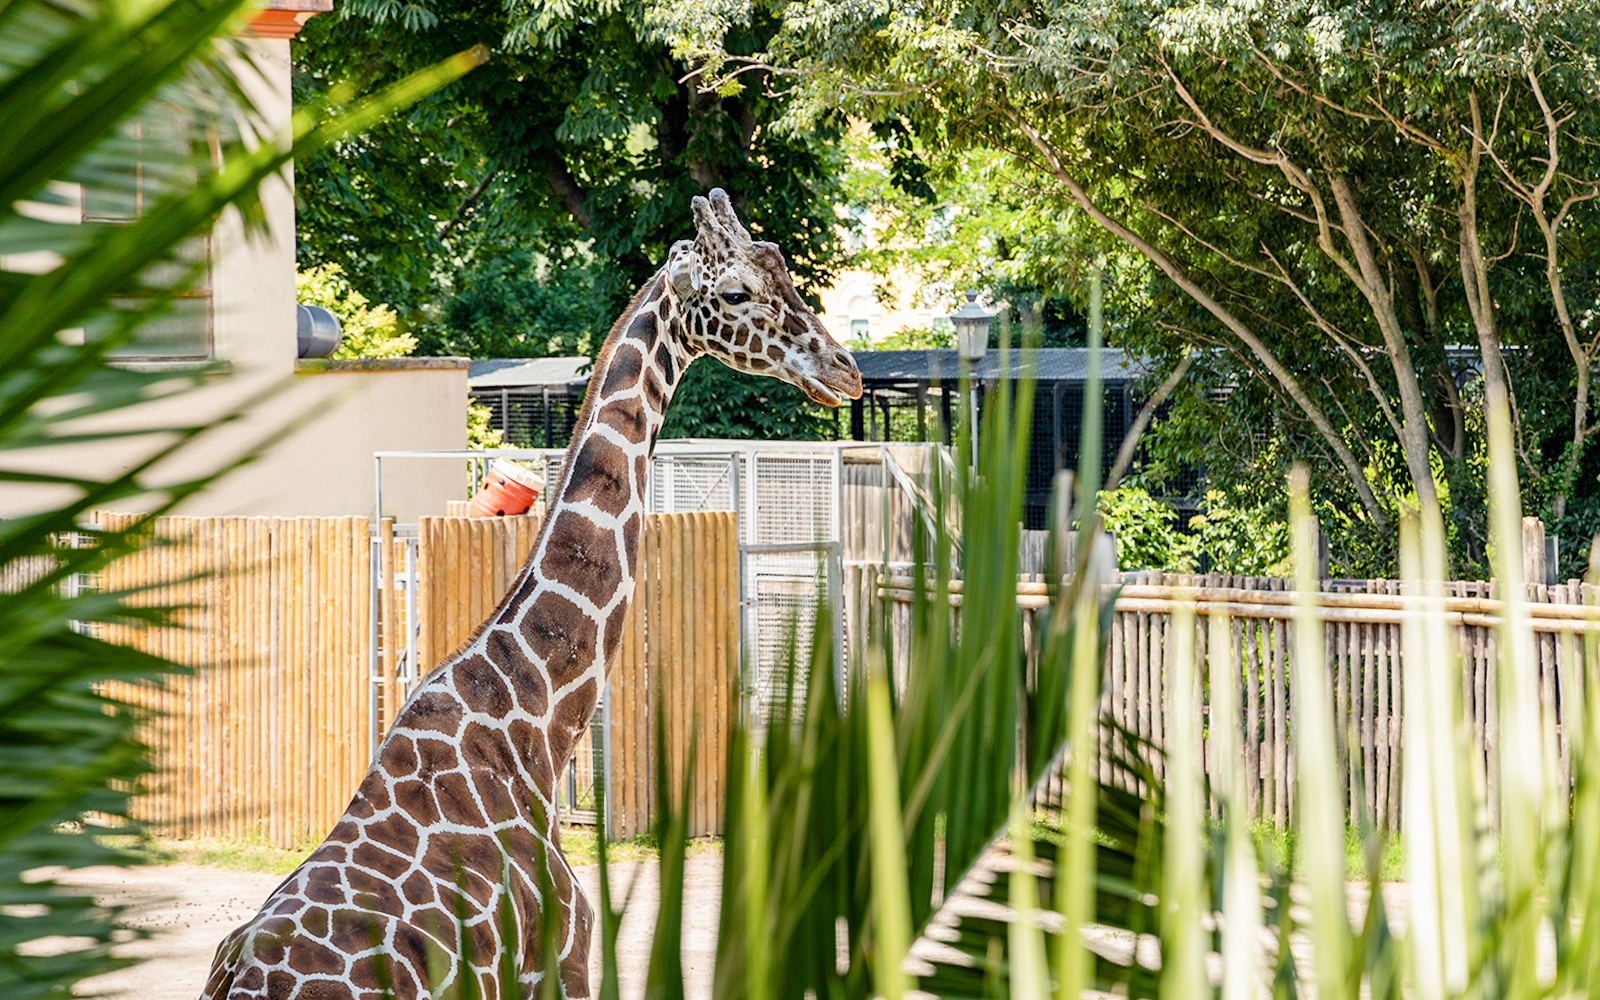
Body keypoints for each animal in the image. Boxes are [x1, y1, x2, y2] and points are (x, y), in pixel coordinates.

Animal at [199, 189, 862, 1000]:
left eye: (785, 271)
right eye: (737, 293)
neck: (536, 723)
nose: (846, 370)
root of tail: (241, 980)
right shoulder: (566, 964)